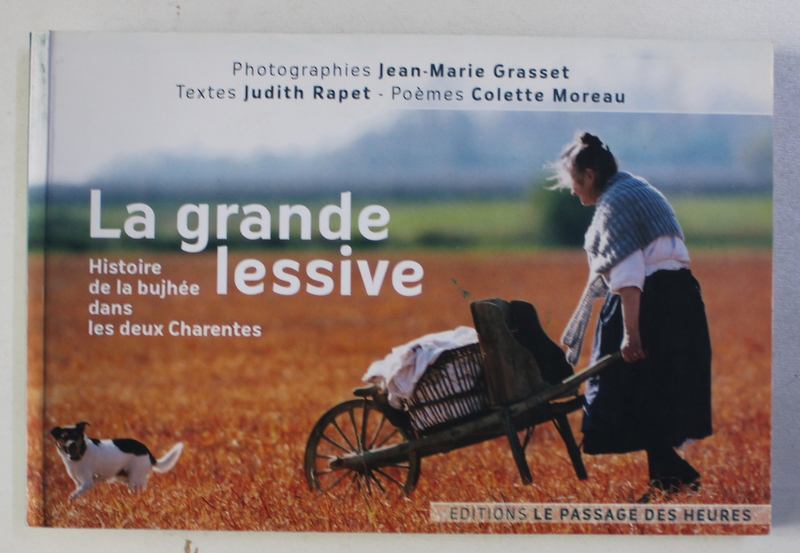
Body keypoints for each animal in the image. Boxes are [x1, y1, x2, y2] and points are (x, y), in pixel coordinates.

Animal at [50, 422, 185, 500]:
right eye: (64, 437)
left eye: (76, 435)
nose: (72, 444)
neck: (81, 452)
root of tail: (148, 452)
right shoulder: (78, 483)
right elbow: (77, 494)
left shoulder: (87, 483)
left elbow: (73, 495)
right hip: (129, 480)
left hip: (135, 480)